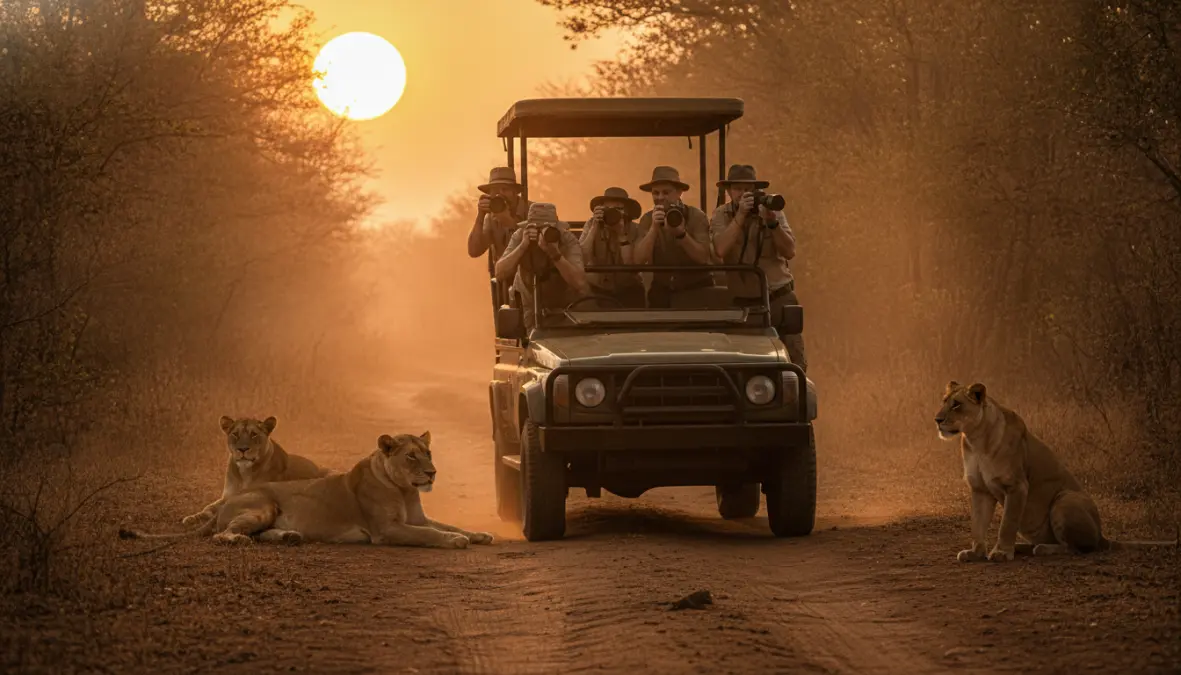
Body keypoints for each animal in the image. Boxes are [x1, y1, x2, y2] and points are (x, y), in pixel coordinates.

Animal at [121, 431, 494, 549]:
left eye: (428, 453)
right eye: (411, 456)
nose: (432, 472)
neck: (403, 489)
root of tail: (230, 499)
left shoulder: (418, 518)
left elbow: (448, 524)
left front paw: (478, 534)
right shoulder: (387, 529)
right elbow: (430, 535)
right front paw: (455, 541)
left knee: (262, 533)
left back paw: (290, 536)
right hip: (263, 504)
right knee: (222, 535)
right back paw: (239, 539)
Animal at [180, 415, 331, 527]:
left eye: (254, 435)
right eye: (235, 434)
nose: (242, 449)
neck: (245, 473)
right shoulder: (227, 496)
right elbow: (208, 508)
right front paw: (192, 518)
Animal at [935, 381, 1177, 562]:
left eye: (956, 405)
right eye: (944, 402)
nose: (937, 420)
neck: (975, 439)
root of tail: (1102, 535)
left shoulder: (1017, 487)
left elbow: (1007, 523)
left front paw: (1002, 552)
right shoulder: (980, 489)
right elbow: (978, 523)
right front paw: (976, 552)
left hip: (1065, 499)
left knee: (1077, 548)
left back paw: (1041, 549)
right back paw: (1022, 546)